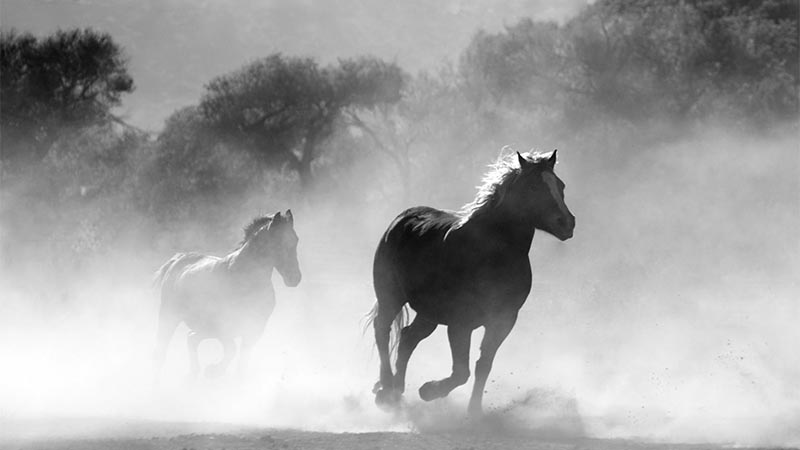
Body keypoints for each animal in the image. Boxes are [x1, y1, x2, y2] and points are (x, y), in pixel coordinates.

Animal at [153, 210, 301, 381]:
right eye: (278, 242)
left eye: (296, 240)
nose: (295, 278)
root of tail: (178, 259)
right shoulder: (224, 327)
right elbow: (232, 349)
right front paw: (213, 370)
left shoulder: (254, 329)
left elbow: (242, 362)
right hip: (169, 316)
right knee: (162, 350)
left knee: (191, 338)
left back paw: (193, 373)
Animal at [369, 150, 574, 417]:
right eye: (532, 187)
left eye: (560, 185)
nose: (567, 223)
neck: (491, 253)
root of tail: (401, 219)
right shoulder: (460, 323)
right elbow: (461, 372)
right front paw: (429, 391)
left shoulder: (503, 320)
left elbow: (483, 365)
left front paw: (474, 411)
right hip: (390, 297)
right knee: (382, 329)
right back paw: (385, 389)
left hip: (429, 314)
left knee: (406, 339)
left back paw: (396, 391)